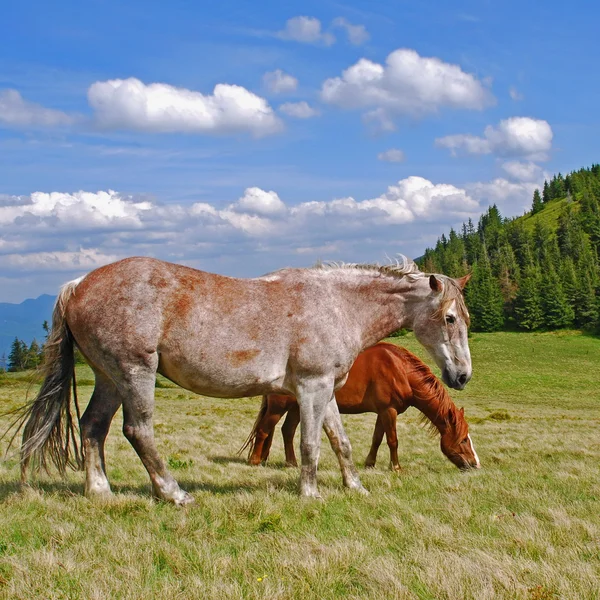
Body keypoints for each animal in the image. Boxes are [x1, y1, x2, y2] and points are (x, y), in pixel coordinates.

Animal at [241, 344, 480, 472]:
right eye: (463, 440)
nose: (475, 464)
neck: (399, 370)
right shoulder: (389, 411)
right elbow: (393, 440)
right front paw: (396, 467)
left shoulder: (383, 412)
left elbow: (377, 439)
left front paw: (369, 463)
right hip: (278, 407)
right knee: (264, 430)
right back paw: (255, 461)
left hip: (296, 408)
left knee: (287, 431)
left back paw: (291, 463)